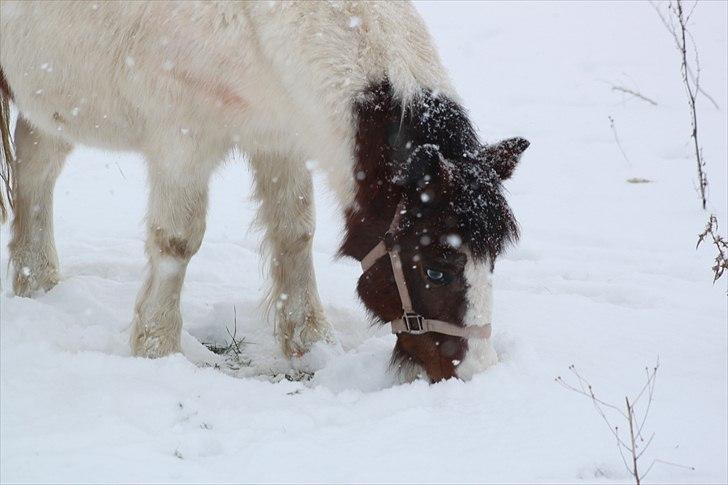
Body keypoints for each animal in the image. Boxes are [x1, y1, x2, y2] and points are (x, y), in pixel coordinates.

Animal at [0, 2, 528, 382]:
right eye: (437, 269)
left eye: (493, 261)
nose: (476, 371)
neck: (256, 28)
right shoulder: (182, 143)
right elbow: (177, 242)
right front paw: (157, 349)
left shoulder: (278, 139)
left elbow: (295, 233)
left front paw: (311, 343)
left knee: (35, 171)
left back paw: (37, 283)